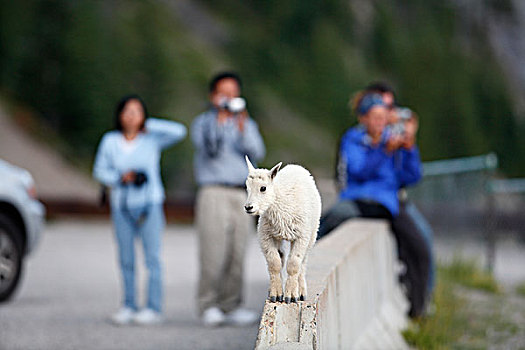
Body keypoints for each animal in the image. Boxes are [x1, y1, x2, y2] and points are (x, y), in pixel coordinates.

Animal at [244, 157, 322, 302]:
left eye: (263, 188)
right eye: (247, 187)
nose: (248, 207)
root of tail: (297, 166)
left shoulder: (301, 235)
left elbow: (294, 264)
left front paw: (291, 296)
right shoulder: (265, 235)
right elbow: (274, 263)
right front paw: (276, 294)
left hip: (312, 232)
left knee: (303, 261)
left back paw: (301, 291)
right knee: (282, 257)